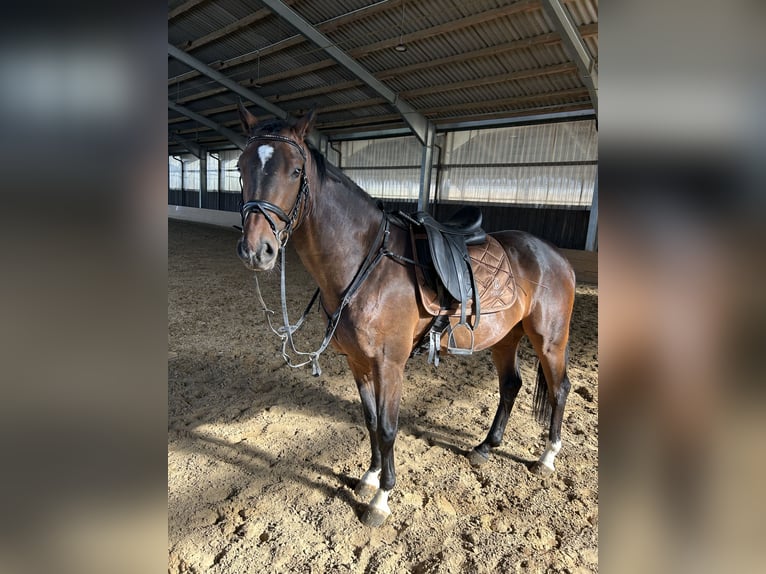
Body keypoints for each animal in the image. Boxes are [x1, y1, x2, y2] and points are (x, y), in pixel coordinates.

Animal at [235, 104, 576, 527]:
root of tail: (556, 256)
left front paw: (381, 499)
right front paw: (368, 477)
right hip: (505, 337)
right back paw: (485, 447)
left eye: (296, 171)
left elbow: (387, 427)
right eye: (241, 167)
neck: (365, 263)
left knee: (560, 388)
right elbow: (369, 421)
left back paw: (546, 457)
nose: (256, 250)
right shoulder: (358, 363)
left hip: (550, 338)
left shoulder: (389, 364)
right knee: (511, 385)